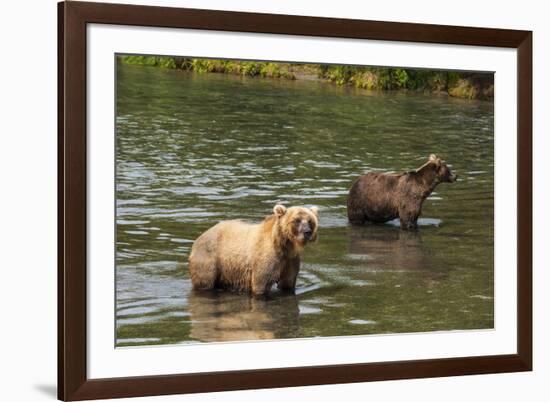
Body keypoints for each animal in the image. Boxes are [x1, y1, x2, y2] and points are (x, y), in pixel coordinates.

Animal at [189, 204, 320, 296]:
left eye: (310, 221)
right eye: (296, 220)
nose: (307, 232)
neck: (284, 246)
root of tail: (200, 237)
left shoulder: (290, 260)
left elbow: (288, 282)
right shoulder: (266, 258)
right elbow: (261, 283)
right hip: (209, 257)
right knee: (204, 282)